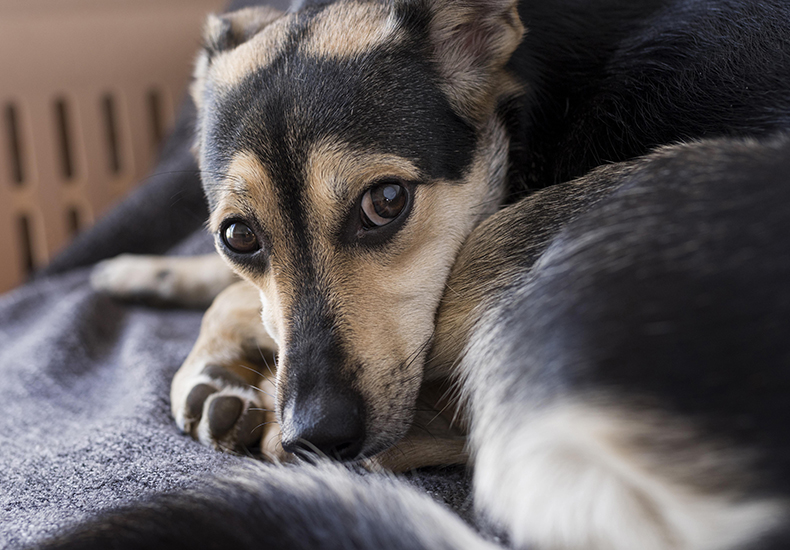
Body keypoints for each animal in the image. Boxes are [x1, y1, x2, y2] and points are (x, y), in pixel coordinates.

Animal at [80, 0, 790, 548]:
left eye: (387, 201)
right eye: (238, 235)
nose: (318, 435)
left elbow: (233, 298)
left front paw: (213, 360)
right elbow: (233, 287)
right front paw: (143, 272)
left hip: (537, 229)